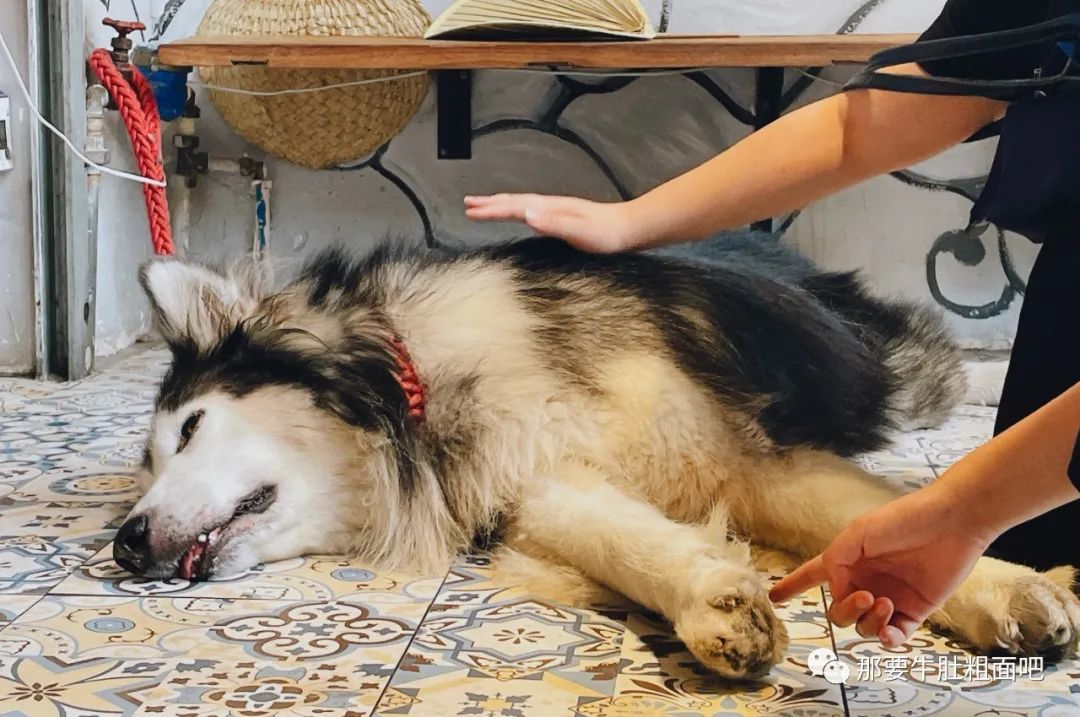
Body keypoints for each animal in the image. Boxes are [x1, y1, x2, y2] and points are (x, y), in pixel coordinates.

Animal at [118, 233, 1080, 679]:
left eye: (192, 428)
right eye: (151, 462)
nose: (125, 542)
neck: (418, 387)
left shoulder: (748, 458)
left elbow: (877, 518)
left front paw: (1002, 586)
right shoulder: (537, 481)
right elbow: (623, 537)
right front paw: (711, 599)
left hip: (892, 368)